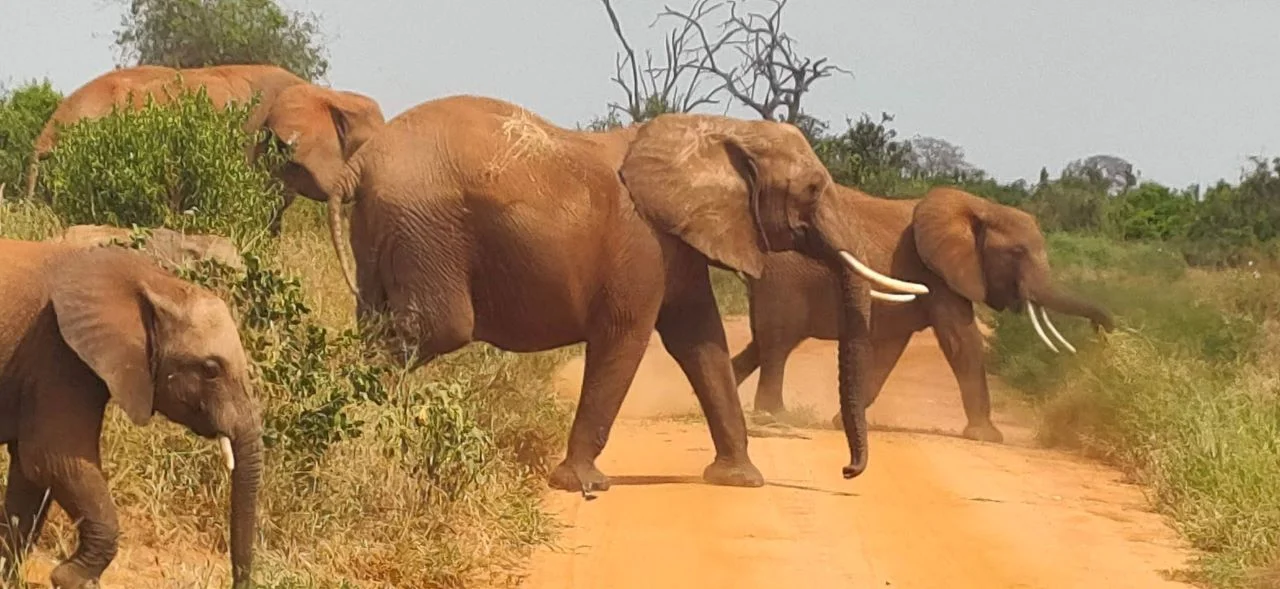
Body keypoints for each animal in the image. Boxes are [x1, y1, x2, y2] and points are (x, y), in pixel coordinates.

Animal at [0, 239, 263, 588]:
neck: (153, 280)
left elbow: (30, 478)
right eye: (210, 369)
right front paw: (71, 578)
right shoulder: (58, 352)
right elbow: (51, 459)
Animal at [328, 95, 929, 492]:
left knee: (379, 323)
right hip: (425, 229)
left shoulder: (677, 243)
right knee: (431, 330)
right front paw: (583, 486)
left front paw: (740, 480)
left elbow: (700, 342)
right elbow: (627, 337)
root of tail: (358, 164)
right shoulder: (642, 245)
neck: (717, 130)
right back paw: (362, 427)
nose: (848, 471)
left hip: (388, 233)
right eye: (811, 190)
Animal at [731, 186, 1114, 442]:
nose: (1103, 331)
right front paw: (988, 437)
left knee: (760, 346)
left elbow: (888, 351)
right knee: (777, 345)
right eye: (1017, 253)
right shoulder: (936, 275)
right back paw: (773, 416)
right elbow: (962, 341)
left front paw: (844, 421)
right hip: (784, 281)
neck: (978, 207)